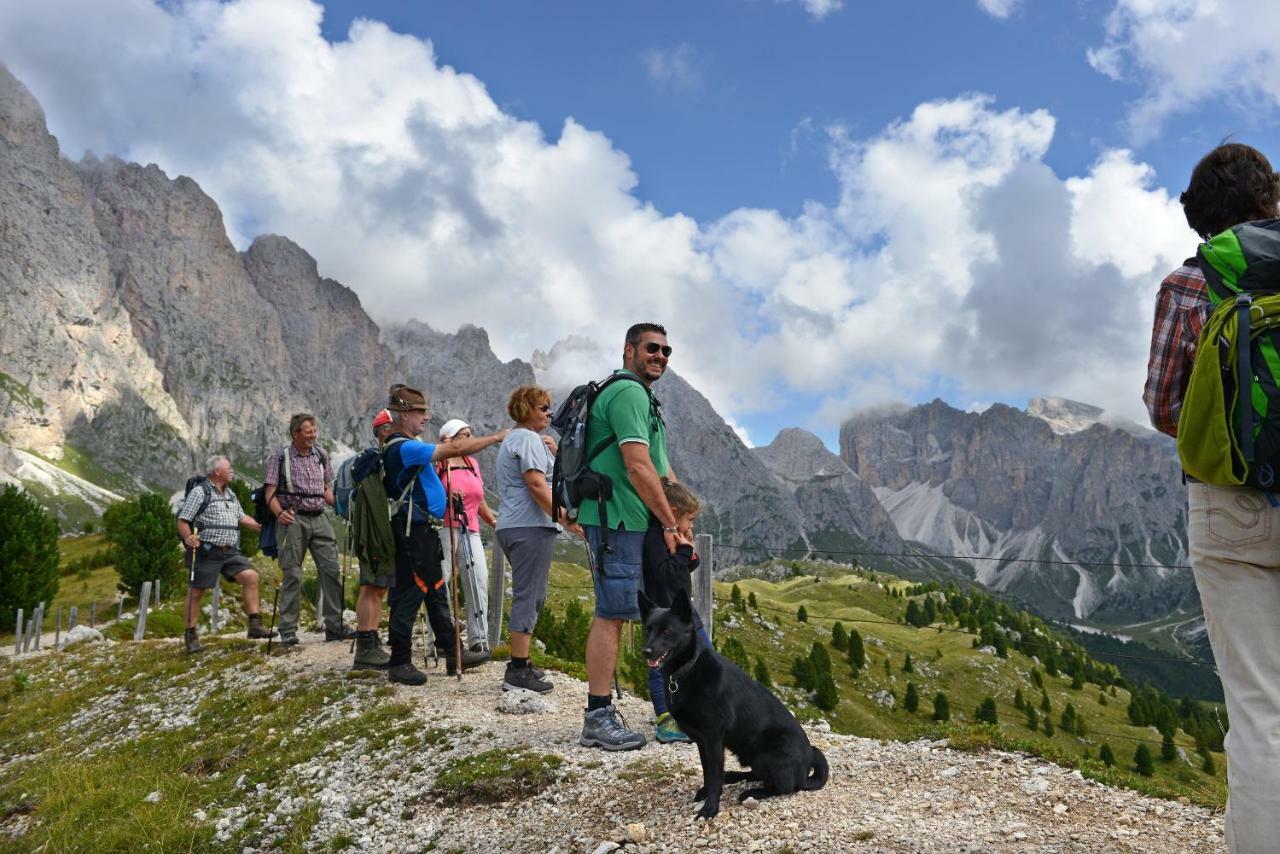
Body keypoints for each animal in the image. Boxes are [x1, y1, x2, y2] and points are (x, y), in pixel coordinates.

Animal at [640, 591, 829, 819]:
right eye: (647, 629)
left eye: (667, 631)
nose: (645, 651)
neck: (686, 671)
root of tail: (808, 760)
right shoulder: (702, 741)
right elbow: (708, 772)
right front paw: (706, 792)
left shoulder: (713, 739)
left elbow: (713, 775)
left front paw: (710, 808)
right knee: (756, 774)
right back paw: (732, 776)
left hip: (765, 753)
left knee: (786, 786)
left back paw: (753, 792)